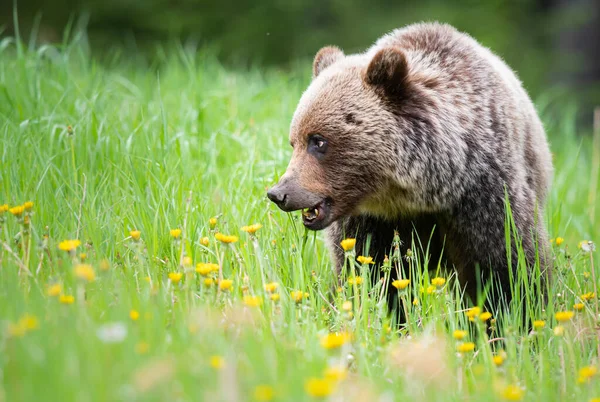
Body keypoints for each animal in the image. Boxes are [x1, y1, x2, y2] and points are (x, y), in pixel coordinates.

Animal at [268, 22, 552, 318]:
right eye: (294, 141)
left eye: (318, 140)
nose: (279, 193)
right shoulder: (373, 223)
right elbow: (373, 271)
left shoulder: (483, 194)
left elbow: (505, 265)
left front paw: (511, 316)